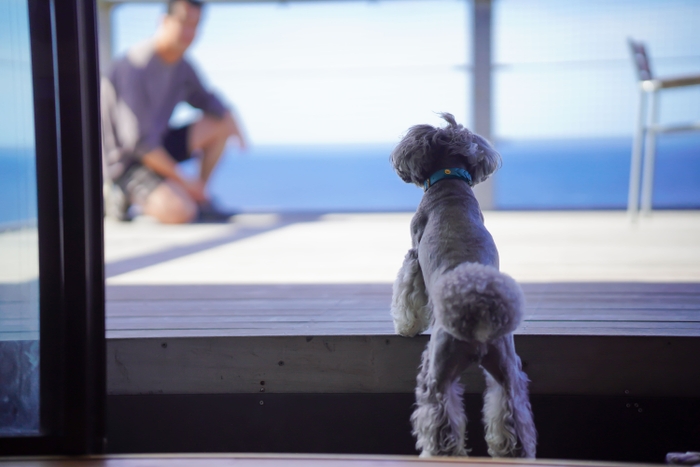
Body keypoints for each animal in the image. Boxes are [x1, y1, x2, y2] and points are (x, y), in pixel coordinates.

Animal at [388, 114, 536, 460]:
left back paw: (438, 454)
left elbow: (407, 294)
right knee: (512, 415)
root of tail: (477, 310)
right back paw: (511, 452)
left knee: (440, 422)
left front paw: (406, 326)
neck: (449, 183)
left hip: (438, 370)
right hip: (506, 369)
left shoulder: (413, 257)